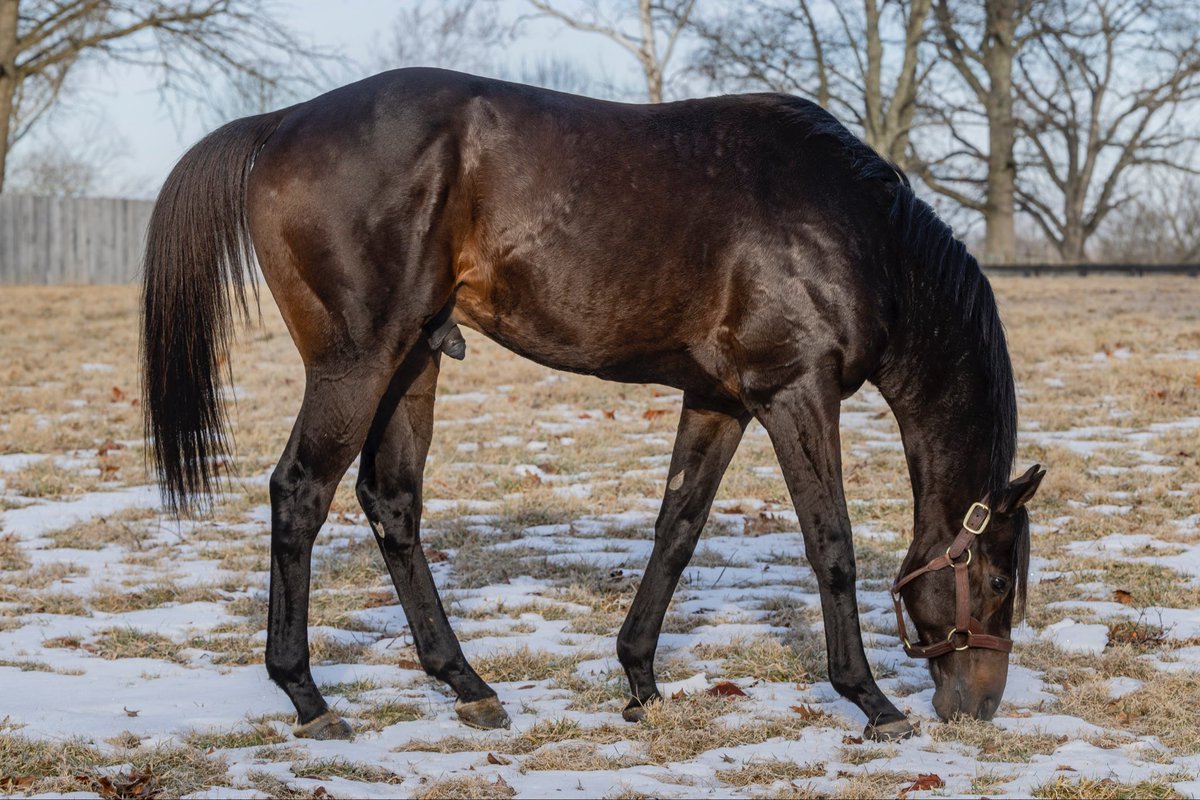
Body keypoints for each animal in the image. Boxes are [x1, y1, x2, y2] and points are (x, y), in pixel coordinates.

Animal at [141, 68, 1044, 742]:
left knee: (390, 502)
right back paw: (308, 696)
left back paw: (466, 684)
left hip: (412, 362)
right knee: (300, 493)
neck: (859, 233)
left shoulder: (717, 401)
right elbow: (832, 545)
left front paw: (640, 677)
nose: (979, 706)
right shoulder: (794, 393)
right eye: (998, 579)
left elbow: (677, 530)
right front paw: (871, 700)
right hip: (355, 363)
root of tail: (283, 122)